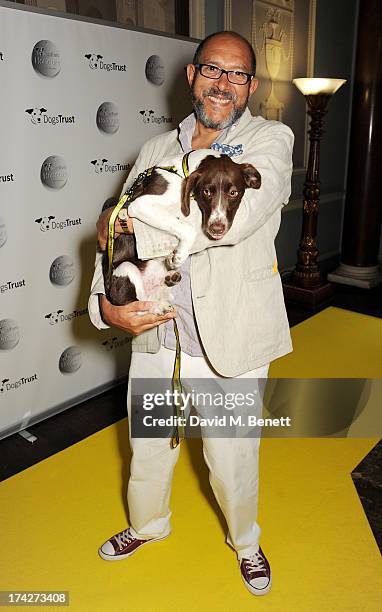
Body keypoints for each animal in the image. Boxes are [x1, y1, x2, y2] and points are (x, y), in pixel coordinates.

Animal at [103, 150, 262, 314]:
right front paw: (179, 256)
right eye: (206, 192)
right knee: (139, 304)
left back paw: (169, 278)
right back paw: (159, 306)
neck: (179, 171)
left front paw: (174, 257)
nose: (217, 228)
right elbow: (187, 227)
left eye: (233, 193)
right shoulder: (140, 205)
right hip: (126, 268)